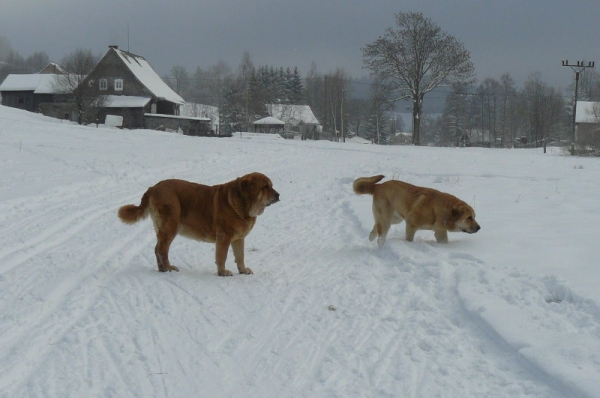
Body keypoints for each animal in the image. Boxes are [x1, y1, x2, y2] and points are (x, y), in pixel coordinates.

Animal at [118, 173, 280, 276]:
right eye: (265, 187)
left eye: (271, 185)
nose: (278, 195)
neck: (243, 203)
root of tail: (152, 188)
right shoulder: (224, 237)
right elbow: (222, 256)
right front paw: (223, 272)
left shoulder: (239, 239)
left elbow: (240, 256)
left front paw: (243, 270)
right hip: (170, 226)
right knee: (161, 250)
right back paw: (169, 268)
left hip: (162, 229)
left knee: (157, 249)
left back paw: (162, 269)